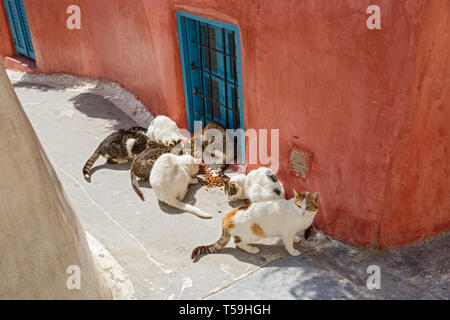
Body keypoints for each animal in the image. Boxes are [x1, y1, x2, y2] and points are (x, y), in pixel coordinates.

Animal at [191, 190, 320, 260]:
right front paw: (293, 251)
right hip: (252, 234)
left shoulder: (290, 231)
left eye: (308, 207)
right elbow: (288, 243)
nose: (303, 212)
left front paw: (296, 239)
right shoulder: (287, 231)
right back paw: (251, 249)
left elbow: (292, 237)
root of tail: (227, 216)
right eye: (299, 206)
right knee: (237, 242)